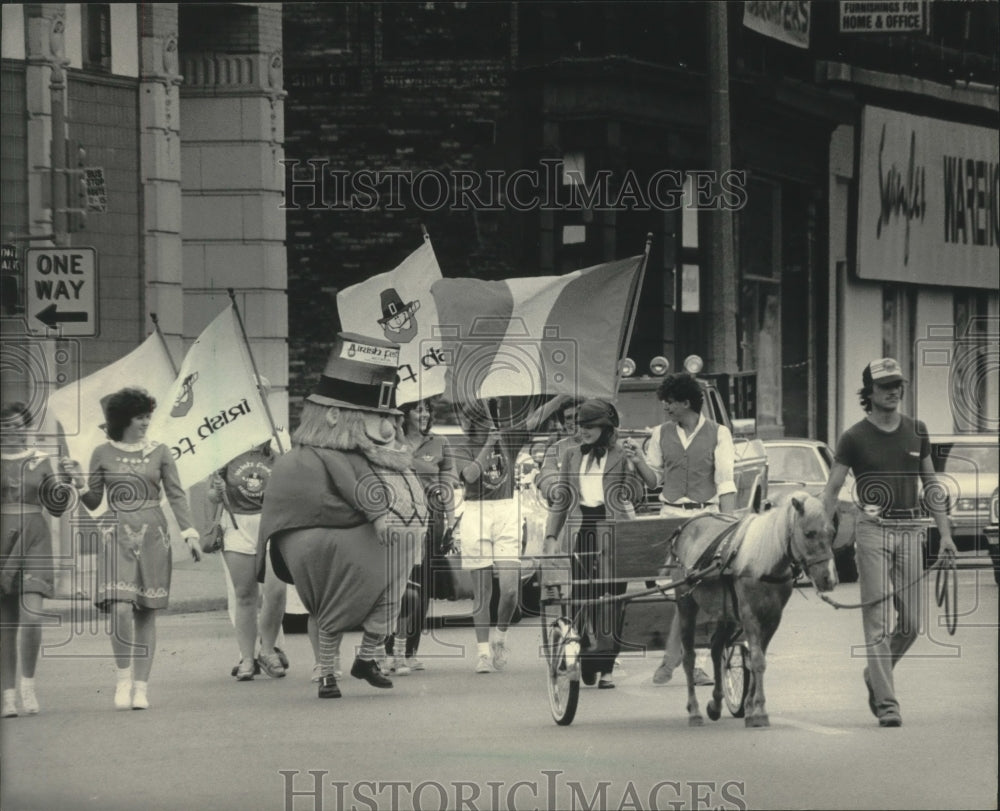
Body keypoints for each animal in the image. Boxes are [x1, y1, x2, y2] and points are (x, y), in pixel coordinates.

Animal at [668, 494, 840, 728]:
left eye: (832, 533)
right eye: (809, 533)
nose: (829, 579)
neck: (763, 562)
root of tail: (688, 525)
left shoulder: (772, 619)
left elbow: (756, 659)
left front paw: (751, 707)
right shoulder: (750, 616)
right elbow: (757, 660)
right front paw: (759, 711)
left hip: (726, 613)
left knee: (716, 648)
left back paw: (716, 704)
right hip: (686, 605)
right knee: (688, 657)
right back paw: (694, 711)